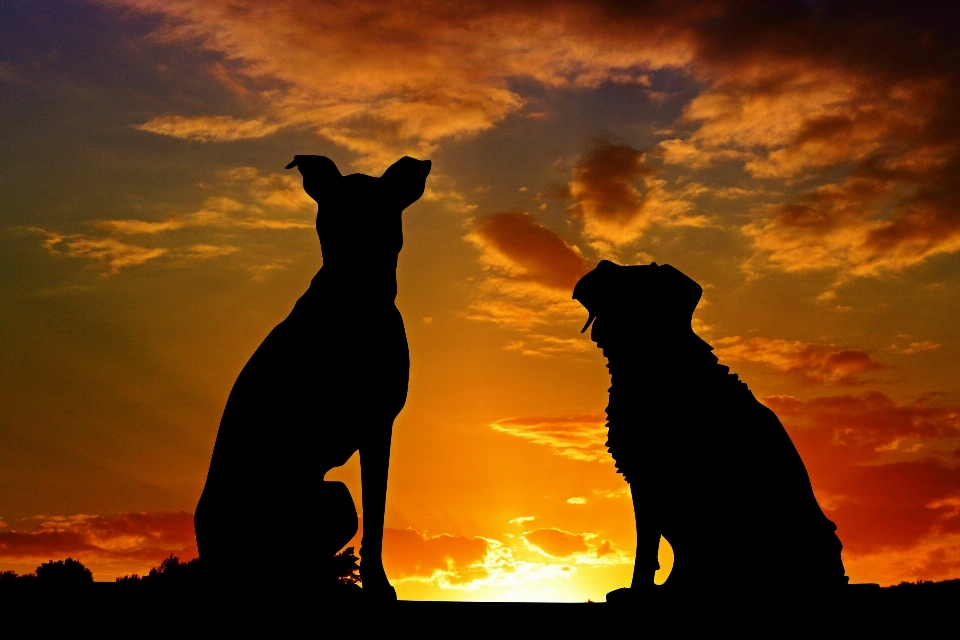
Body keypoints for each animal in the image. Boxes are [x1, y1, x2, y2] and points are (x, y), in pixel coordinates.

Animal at [195, 154, 432, 600]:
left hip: (331, 500)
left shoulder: (379, 426)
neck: (353, 296)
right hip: (325, 500)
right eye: (331, 215)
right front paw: (378, 586)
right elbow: (377, 516)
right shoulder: (376, 427)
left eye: (379, 210)